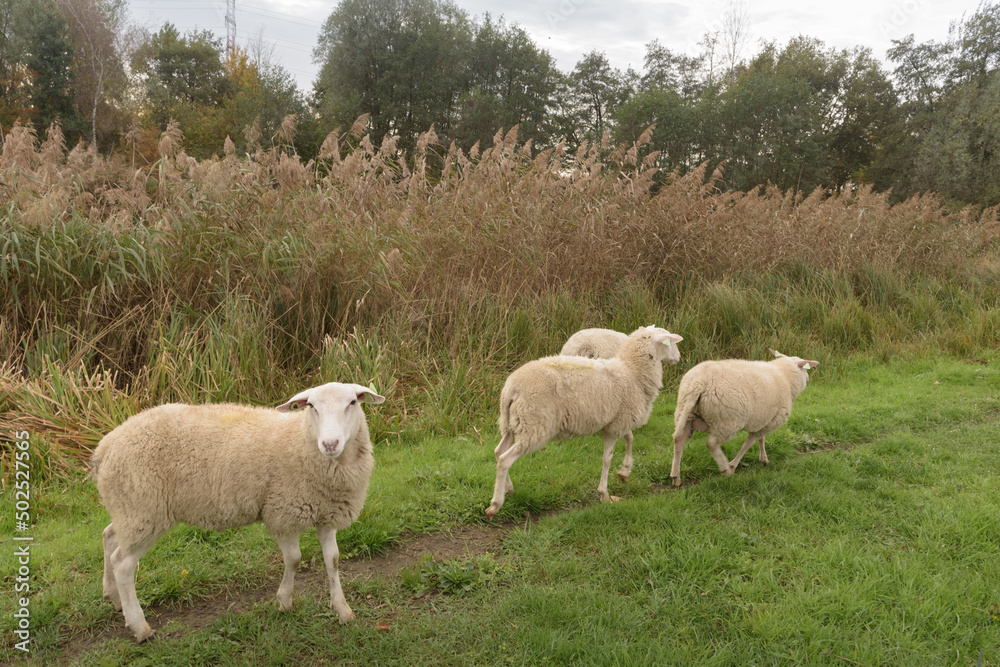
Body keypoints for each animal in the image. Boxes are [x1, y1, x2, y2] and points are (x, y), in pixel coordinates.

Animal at [92, 384, 384, 644]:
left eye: (352, 403)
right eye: (312, 406)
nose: (330, 444)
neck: (301, 440)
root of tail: (105, 446)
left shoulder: (327, 512)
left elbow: (332, 560)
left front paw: (342, 610)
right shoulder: (283, 512)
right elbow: (294, 559)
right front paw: (285, 601)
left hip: (128, 509)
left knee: (109, 536)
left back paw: (113, 598)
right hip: (144, 510)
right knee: (123, 564)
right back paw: (140, 626)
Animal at [560, 328, 684, 486]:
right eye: (670, 342)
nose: (679, 357)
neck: (632, 369)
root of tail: (586, 348)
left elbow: (629, 437)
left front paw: (625, 469)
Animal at [672, 350, 820, 486]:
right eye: (805, 368)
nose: (808, 378)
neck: (786, 377)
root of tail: (699, 382)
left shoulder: (764, 419)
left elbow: (760, 439)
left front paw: (763, 459)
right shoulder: (770, 422)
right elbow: (748, 443)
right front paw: (733, 465)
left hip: (685, 413)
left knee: (678, 441)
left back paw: (675, 477)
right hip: (727, 421)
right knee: (711, 443)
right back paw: (725, 469)